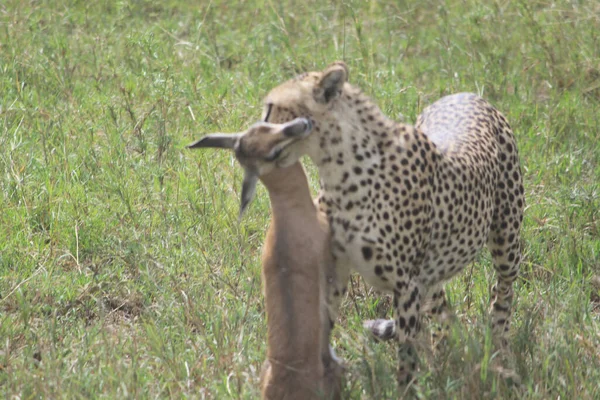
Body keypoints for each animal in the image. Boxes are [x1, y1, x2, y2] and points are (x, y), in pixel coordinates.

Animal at [253, 62, 524, 388]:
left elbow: (406, 354)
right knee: (443, 310)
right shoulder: (336, 271)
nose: (253, 132)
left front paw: (406, 387)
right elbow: (323, 325)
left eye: (272, 108)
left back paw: (499, 349)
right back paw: (444, 357)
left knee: (503, 291)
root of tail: (467, 93)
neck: (340, 171)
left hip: (506, 242)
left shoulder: (406, 285)